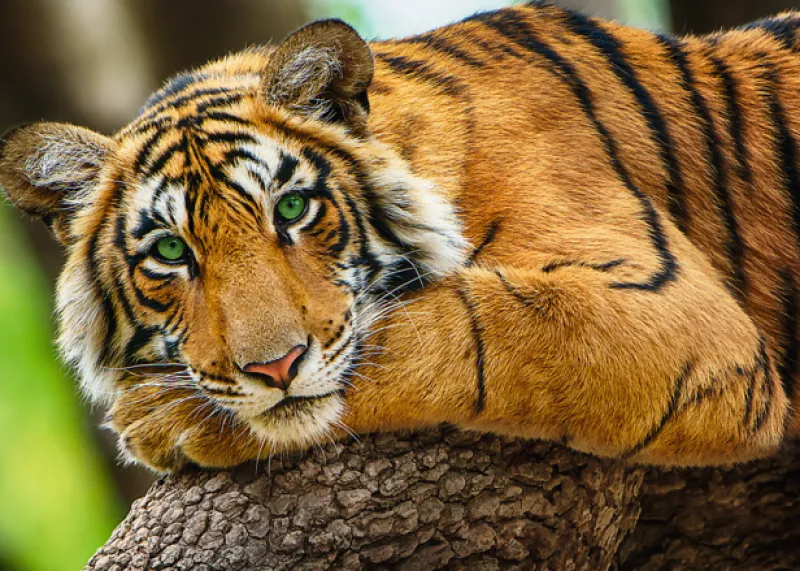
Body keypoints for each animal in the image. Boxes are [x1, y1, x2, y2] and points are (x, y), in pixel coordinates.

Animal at [1, 1, 798, 472]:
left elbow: (459, 327)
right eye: (170, 251)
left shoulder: (677, 313)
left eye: (292, 209)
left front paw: (162, 417)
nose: (275, 368)